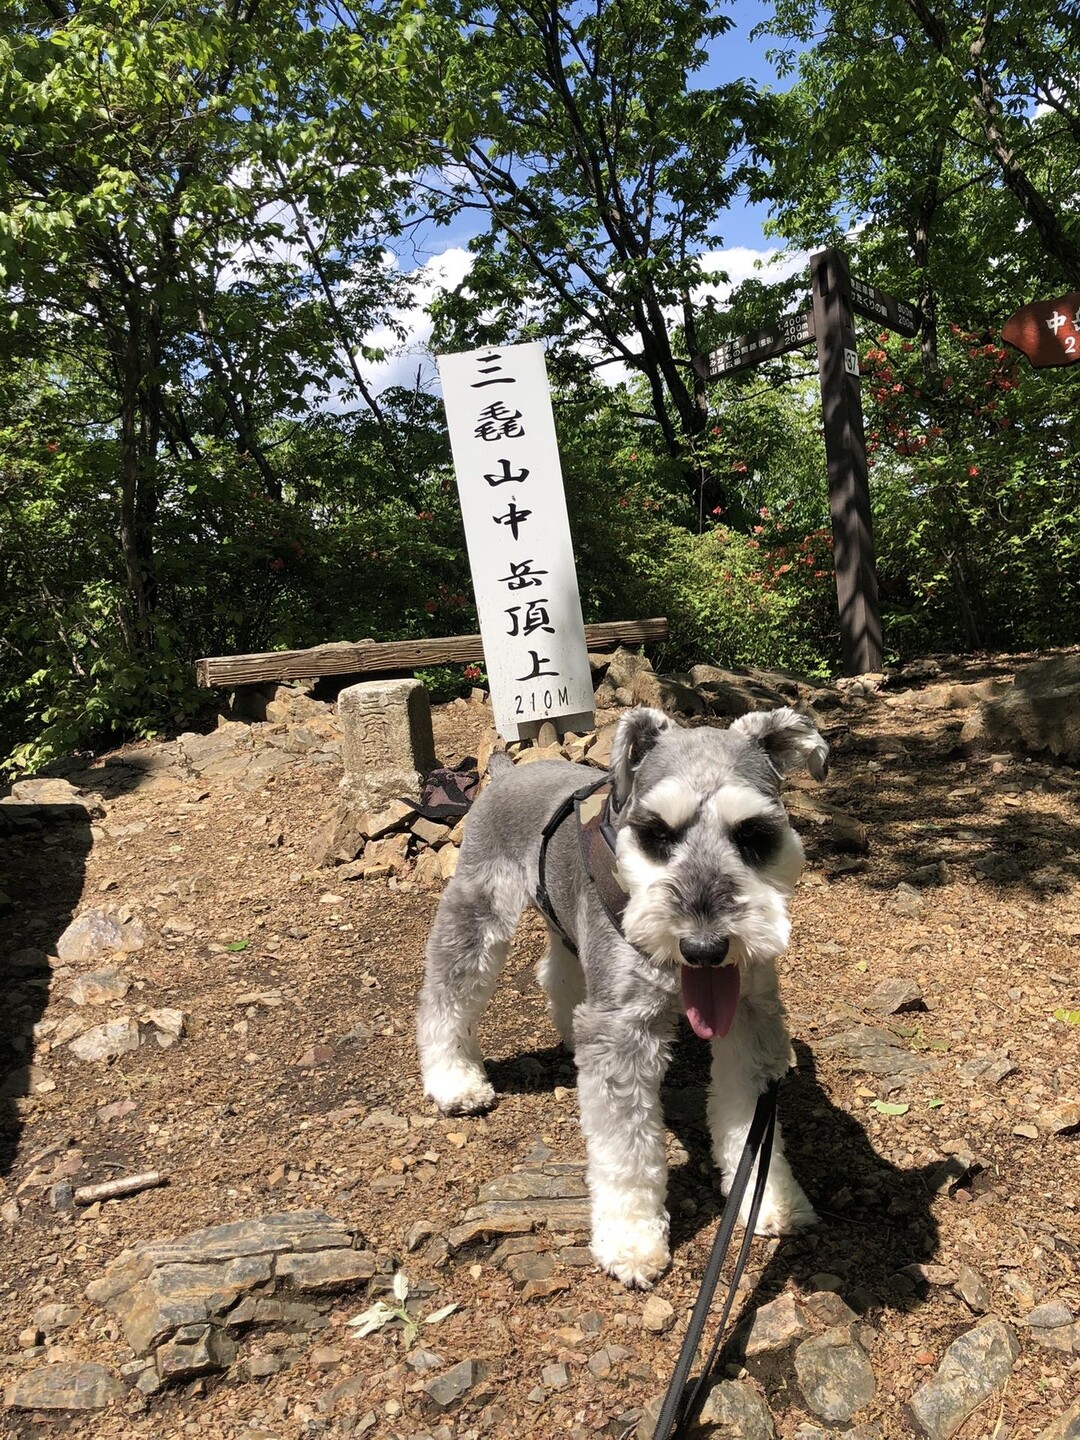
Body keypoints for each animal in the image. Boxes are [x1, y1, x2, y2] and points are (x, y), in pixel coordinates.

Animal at [417, 702, 829, 1290]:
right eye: (657, 834)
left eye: (753, 835)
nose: (705, 948)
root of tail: (507, 772)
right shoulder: (622, 1034)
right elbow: (626, 1150)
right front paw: (632, 1240)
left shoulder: (750, 1021)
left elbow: (746, 1121)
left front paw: (768, 1200)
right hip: (476, 914)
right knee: (447, 994)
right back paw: (454, 1079)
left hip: (567, 923)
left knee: (558, 973)